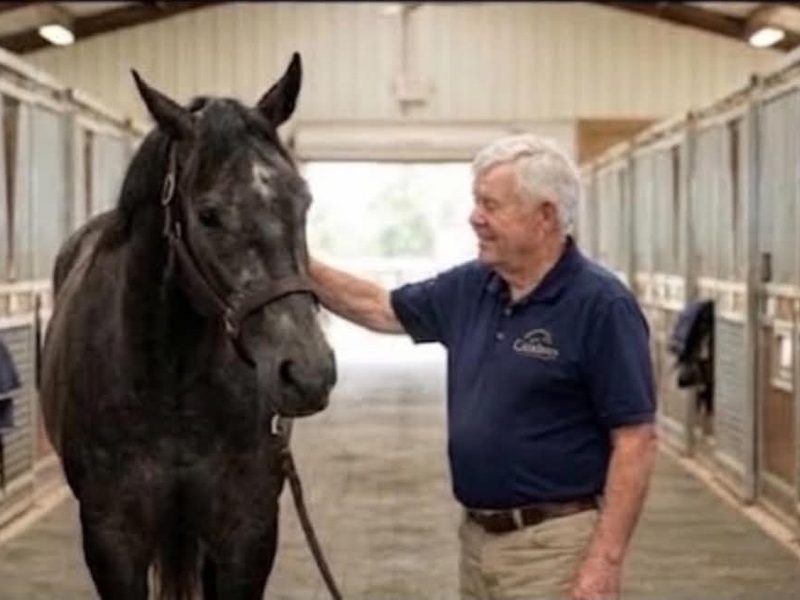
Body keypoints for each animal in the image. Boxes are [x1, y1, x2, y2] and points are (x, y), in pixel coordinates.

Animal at [38, 53, 336, 600]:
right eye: (209, 214)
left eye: (302, 200)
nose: (307, 373)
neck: (171, 382)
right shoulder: (112, 538)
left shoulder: (247, 532)